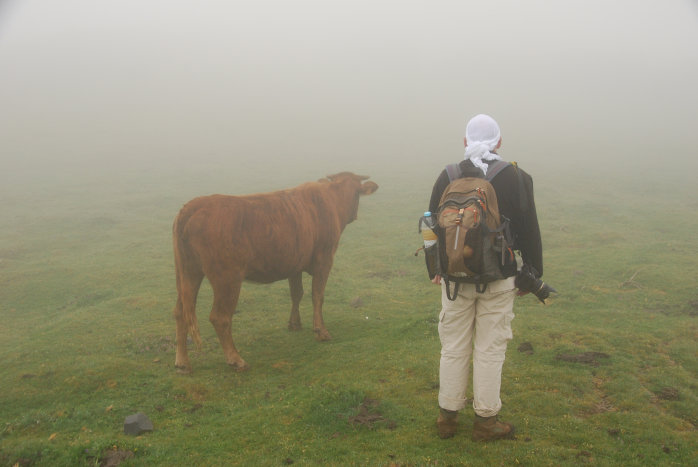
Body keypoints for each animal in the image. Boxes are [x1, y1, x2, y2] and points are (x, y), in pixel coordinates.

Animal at [172, 172, 378, 372]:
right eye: (357, 193)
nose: (354, 215)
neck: (331, 200)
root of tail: (195, 205)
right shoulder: (324, 260)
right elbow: (317, 296)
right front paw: (321, 331)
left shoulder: (295, 265)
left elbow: (297, 294)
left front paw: (294, 324)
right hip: (227, 279)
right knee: (220, 317)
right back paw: (236, 360)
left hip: (187, 274)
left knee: (180, 312)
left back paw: (182, 362)